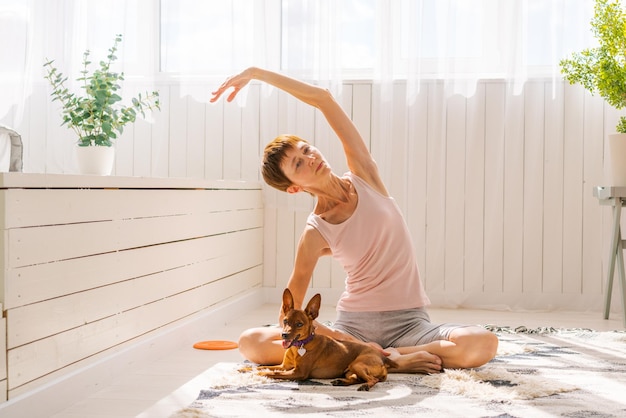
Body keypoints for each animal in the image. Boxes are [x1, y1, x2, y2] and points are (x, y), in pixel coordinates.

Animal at [240, 290, 394, 390]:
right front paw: (245, 369)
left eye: (299, 324)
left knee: (372, 379)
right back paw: (341, 382)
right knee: (357, 378)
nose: (284, 335)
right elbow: (263, 366)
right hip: (350, 370)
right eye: (285, 321)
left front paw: (257, 374)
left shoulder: (298, 373)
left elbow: (270, 373)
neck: (299, 347)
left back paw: (365, 386)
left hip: (358, 364)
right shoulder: (284, 366)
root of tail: (383, 359)